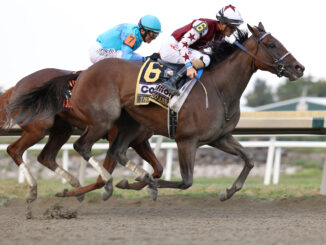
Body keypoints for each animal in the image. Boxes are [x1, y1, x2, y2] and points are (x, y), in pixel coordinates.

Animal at [0, 68, 162, 203]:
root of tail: (16, 87)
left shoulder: (140, 142)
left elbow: (158, 169)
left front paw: (144, 185)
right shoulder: (114, 140)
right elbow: (101, 180)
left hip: (62, 130)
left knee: (46, 157)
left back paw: (73, 182)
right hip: (38, 128)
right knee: (14, 150)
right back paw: (33, 189)